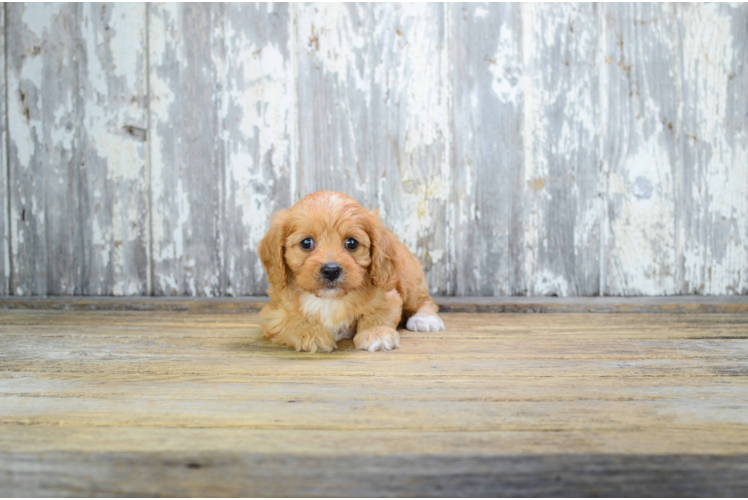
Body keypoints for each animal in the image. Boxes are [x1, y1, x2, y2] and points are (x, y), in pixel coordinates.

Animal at [258, 190, 444, 352]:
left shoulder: (387, 297)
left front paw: (376, 333)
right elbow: (292, 320)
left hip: (410, 280)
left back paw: (425, 319)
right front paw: (313, 335)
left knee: (425, 301)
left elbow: (376, 315)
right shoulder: (274, 314)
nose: (331, 270)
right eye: (306, 243)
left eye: (352, 243)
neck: (330, 299)